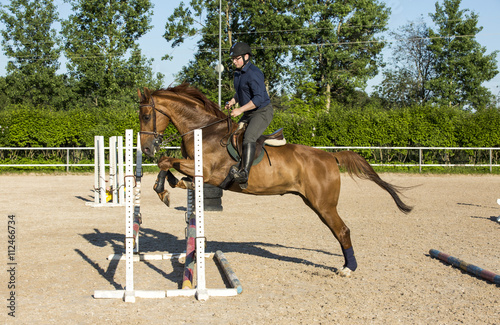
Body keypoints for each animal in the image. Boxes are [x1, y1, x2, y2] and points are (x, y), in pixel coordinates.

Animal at [138, 83, 414, 276]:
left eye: (146, 116)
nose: (147, 149)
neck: (205, 131)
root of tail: (330, 156)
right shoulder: (196, 170)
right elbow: (167, 164)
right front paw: (168, 186)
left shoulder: (208, 172)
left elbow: (165, 161)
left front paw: (163, 189)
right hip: (314, 202)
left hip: (323, 204)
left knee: (342, 230)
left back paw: (348, 268)